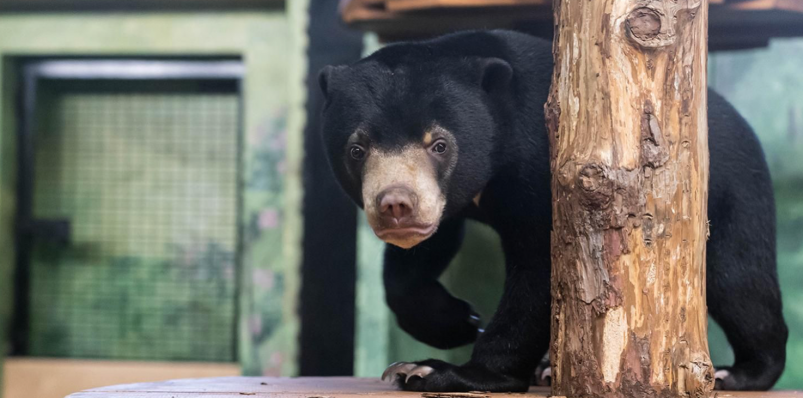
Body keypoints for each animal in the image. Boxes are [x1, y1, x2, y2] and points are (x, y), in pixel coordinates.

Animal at [318, 30, 788, 392]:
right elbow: (419, 258)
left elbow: (542, 269)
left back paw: (740, 372)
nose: (396, 204)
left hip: (732, 192)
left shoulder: (544, 166)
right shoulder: (450, 202)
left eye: (440, 144)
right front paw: (455, 321)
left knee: (738, 280)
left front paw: (443, 371)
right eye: (356, 149)